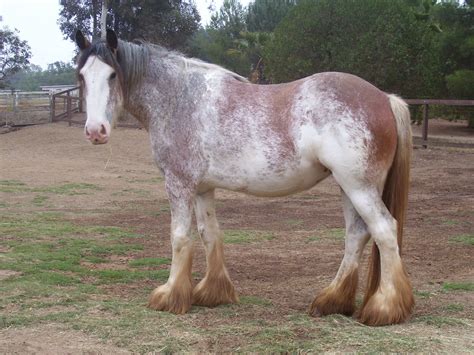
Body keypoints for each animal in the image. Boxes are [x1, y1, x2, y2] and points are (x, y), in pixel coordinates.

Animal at [76, 29, 412, 326]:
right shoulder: (202, 189)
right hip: (347, 187)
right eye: (81, 76)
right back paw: (331, 301)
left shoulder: (179, 184)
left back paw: (384, 308)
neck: (180, 99)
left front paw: (170, 295)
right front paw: (211, 293)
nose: (95, 131)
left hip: (359, 187)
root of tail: (384, 98)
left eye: (113, 75)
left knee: (384, 230)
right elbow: (209, 233)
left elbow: (180, 237)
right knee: (356, 235)